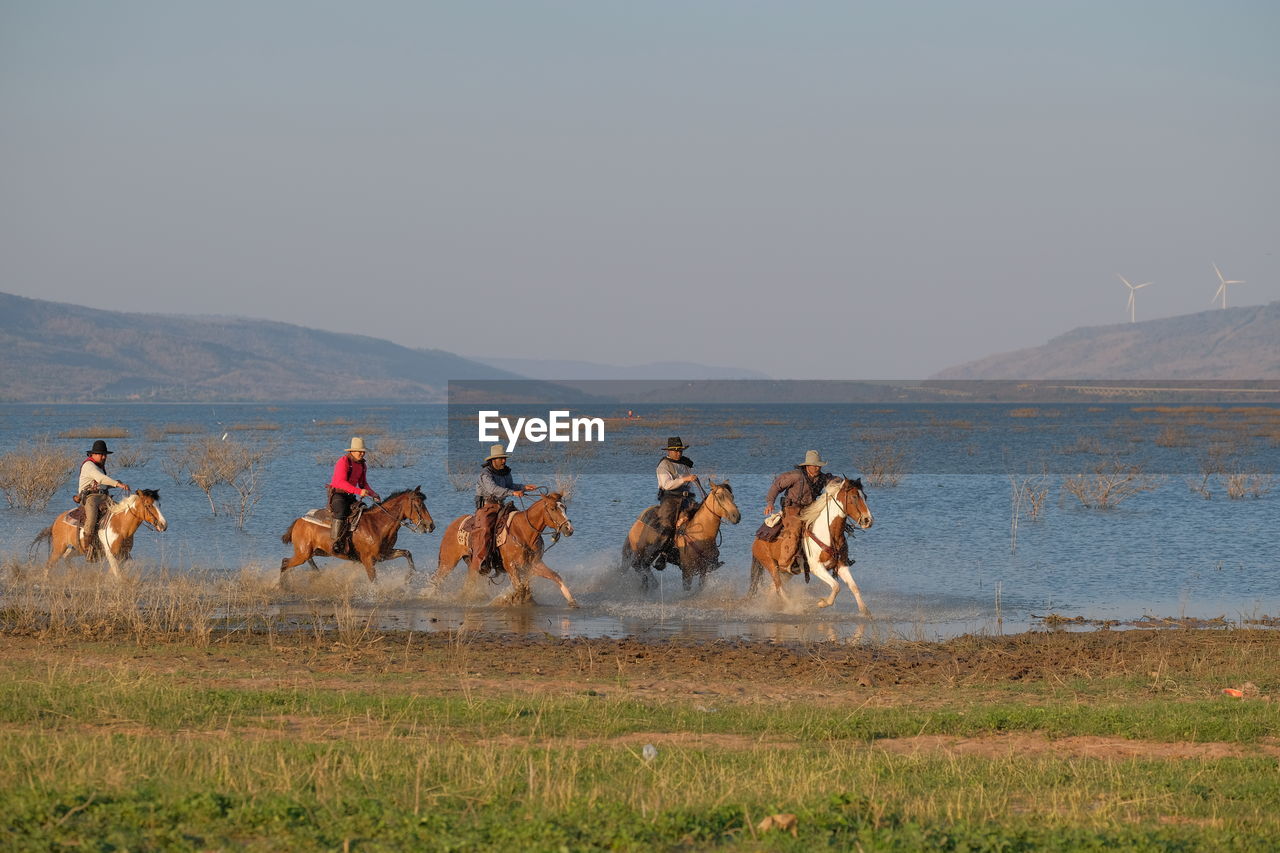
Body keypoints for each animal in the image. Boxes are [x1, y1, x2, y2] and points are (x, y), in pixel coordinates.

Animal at [30, 484, 167, 578]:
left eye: (159, 505)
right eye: (148, 505)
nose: (163, 525)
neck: (120, 525)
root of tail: (57, 520)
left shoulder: (124, 554)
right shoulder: (111, 553)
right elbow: (118, 574)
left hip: (77, 549)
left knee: (66, 557)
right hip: (59, 547)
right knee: (49, 565)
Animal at [281, 484, 437, 584]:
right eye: (419, 505)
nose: (431, 526)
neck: (378, 525)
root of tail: (299, 521)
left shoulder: (384, 554)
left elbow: (407, 553)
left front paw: (410, 577)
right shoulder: (368, 560)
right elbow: (374, 580)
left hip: (319, 551)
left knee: (296, 562)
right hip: (303, 554)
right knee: (285, 563)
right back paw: (281, 586)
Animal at [424, 491, 576, 604]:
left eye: (565, 507)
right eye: (553, 508)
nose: (569, 529)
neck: (522, 531)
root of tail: (453, 525)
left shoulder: (534, 564)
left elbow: (555, 576)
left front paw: (572, 601)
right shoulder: (510, 566)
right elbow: (520, 587)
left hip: (470, 563)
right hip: (448, 562)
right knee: (437, 579)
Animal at [747, 473, 875, 607]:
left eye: (865, 496)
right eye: (854, 496)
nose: (868, 520)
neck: (828, 534)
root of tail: (758, 537)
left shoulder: (842, 565)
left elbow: (854, 587)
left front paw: (865, 610)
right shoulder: (817, 567)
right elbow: (836, 586)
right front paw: (822, 603)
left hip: (786, 572)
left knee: (772, 589)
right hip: (770, 564)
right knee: (779, 588)